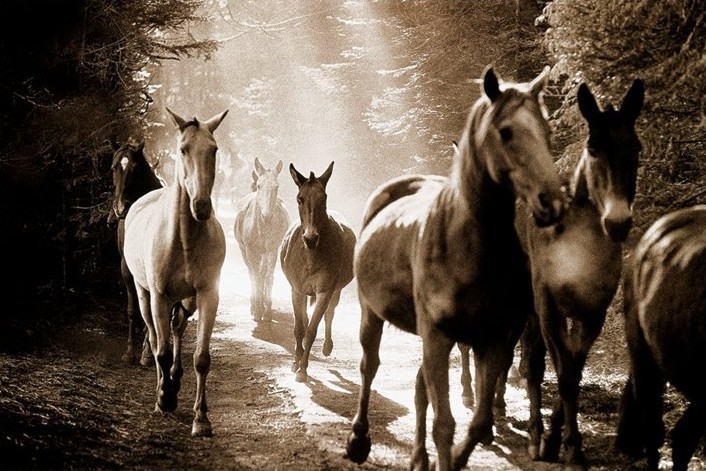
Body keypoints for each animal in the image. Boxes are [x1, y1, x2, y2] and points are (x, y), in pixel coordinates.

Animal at [123, 107, 228, 437]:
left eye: (214, 150)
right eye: (183, 149)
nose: (202, 206)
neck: (183, 240)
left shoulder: (208, 294)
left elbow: (201, 358)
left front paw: (201, 418)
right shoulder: (158, 296)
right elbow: (162, 348)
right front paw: (164, 398)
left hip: (186, 300)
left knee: (178, 328)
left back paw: (175, 378)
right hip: (145, 295)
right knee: (157, 338)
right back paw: (163, 389)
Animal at [234, 157, 291, 322]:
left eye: (276, 186)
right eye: (259, 185)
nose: (267, 216)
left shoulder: (272, 250)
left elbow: (268, 277)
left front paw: (267, 311)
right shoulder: (250, 250)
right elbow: (255, 277)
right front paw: (258, 310)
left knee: (262, 273)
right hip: (245, 251)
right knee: (253, 274)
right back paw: (254, 305)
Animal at [279, 161, 356, 383]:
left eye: (324, 198)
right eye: (300, 199)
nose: (310, 238)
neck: (311, 256)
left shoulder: (325, 290)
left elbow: (312, 329)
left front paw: (303, 369)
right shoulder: (296, 289)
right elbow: (299, 328)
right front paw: (296, 362)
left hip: (336, 290)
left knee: (330, 314)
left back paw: (327, 347)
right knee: (305, 318)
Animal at [346, 66, 567, 471]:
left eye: (547, 132)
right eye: (505, 132)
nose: (552, 203)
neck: (468, 245)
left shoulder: (492, 339)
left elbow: (477, 423)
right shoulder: (438, 335)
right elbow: (445, 424)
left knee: (420, 390)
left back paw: (419, 457)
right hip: (373, 314)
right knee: (370, 366)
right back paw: (359, 439)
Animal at [515, 78, 644, 469]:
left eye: (636, 147)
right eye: (593, 147)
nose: (618, 222)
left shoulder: (593, 311)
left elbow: (573, 367)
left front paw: (564, 442)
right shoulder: (548, 308)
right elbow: (561, 372)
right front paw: (563, 446)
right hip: (530, 305)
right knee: (534, 364)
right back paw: (535, 435)